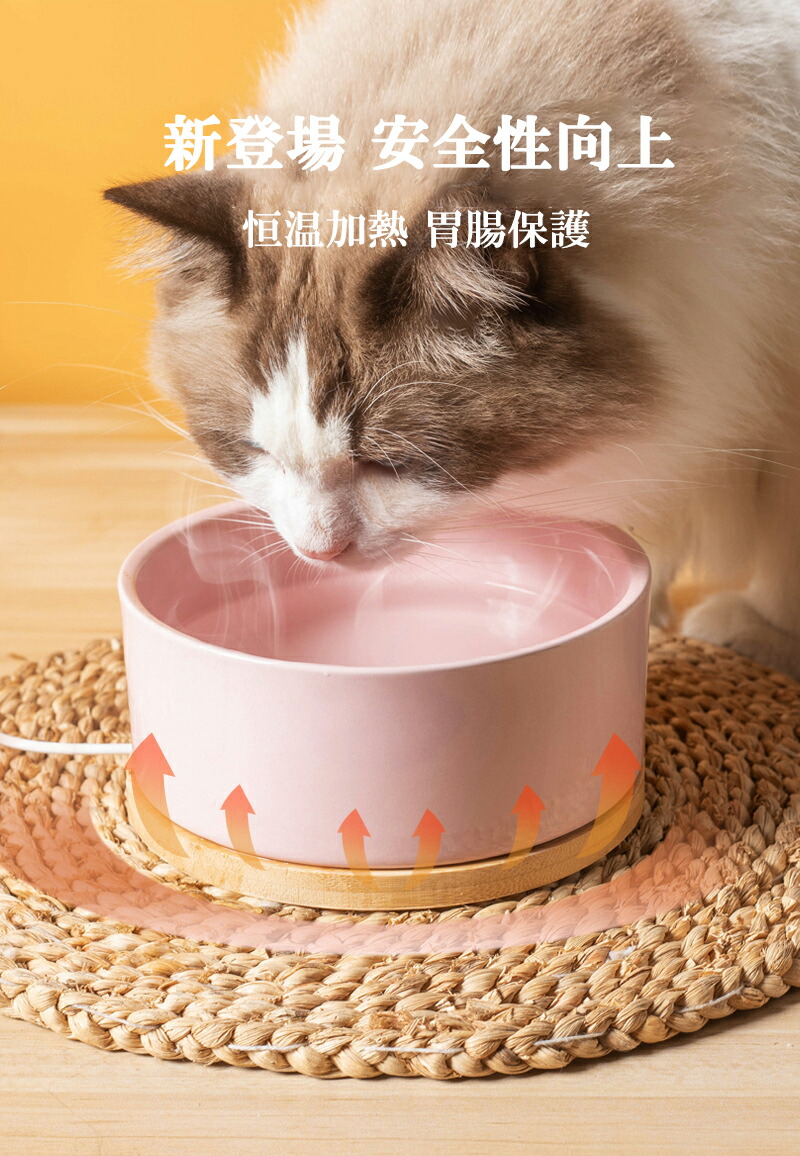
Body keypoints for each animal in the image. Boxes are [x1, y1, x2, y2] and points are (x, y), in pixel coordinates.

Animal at [104, 0, 800, 677]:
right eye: (254, 452)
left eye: (392, 464)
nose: (318, 551)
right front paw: (654, 606)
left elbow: (781, 547)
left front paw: (759, 636)